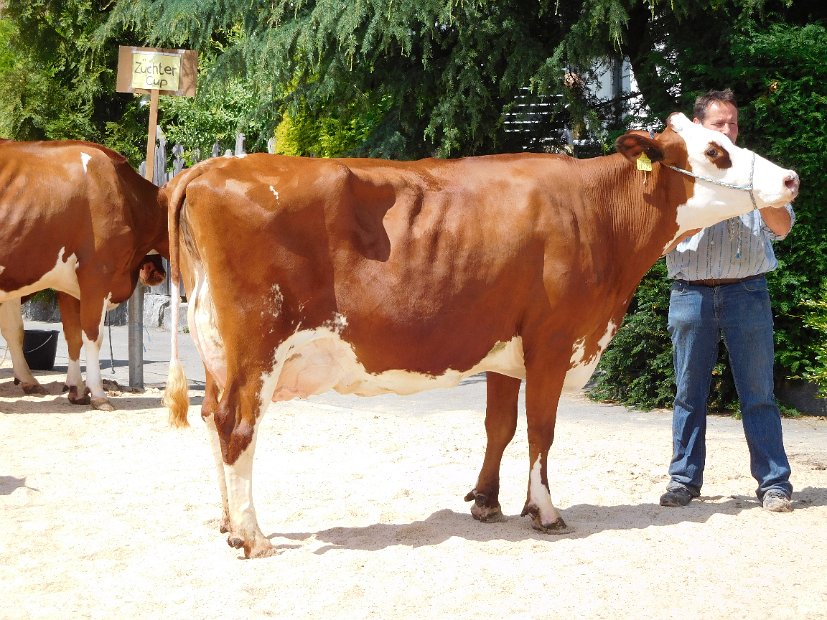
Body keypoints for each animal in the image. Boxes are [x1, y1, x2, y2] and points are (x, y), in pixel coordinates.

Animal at [0, 141, 168, 412]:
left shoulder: (69, 285)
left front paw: (76, 390)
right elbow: (91, 335)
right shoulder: (96, 276)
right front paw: (98, 394)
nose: (159, 275)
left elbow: (71, 335)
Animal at [160, 111, 796, 556]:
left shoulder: (503, 347)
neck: (595, 212)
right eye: (715, 151)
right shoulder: (552, 340)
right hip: (255, 349)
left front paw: (486, 502)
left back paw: (227, 523)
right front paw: (544, 511)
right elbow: (541, 430)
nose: (790, 178)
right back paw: (251, 536)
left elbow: (500, 427)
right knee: (237, 425)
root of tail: (208, 168)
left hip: (217, 351)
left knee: (214, 420)